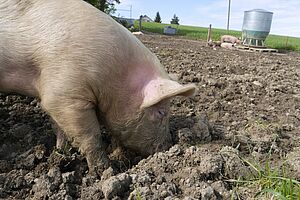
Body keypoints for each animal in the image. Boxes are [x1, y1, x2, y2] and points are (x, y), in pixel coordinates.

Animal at [0, 0, 196, 175]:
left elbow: (58, 127)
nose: (168, 146)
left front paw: (61, 152)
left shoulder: (52, 96)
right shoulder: (64, 92)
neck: (113, 76)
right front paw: (104, 171)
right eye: (161, 112)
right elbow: (90, 136)